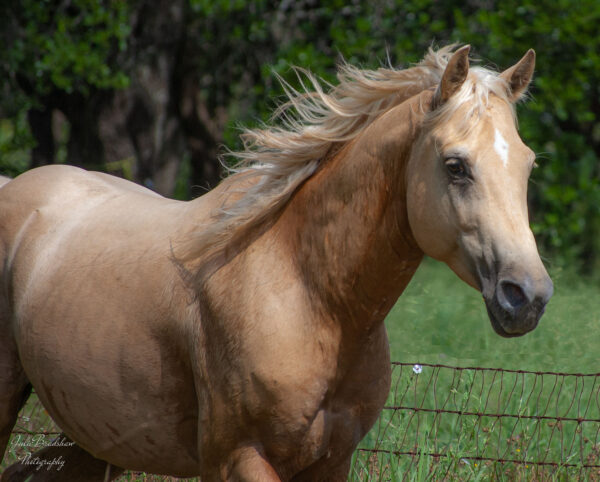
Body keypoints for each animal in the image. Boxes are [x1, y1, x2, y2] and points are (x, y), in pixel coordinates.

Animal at [0, 44, 552, 478]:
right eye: (456, 166)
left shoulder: (332, 463)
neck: (310, 295)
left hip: (96, 436)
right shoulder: (239, 459)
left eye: (528, 163)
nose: (527, 295)